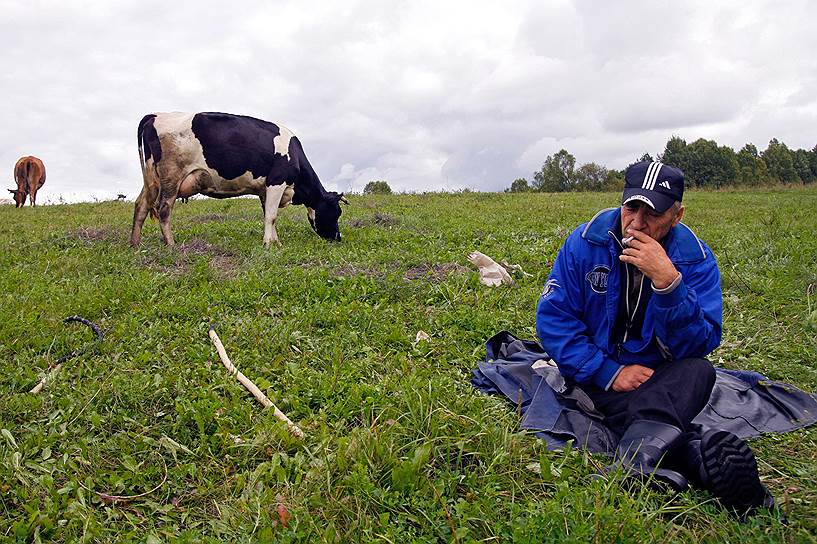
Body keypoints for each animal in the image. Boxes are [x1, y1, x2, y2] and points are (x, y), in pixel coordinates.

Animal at [129, 112, 346, 246]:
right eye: (336, 212)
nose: (338, 237)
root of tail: (156, 115)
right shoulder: (277, 181)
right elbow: (272, 215)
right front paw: (268, 244)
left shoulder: (264, 189)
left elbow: (269, 215)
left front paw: (275, 241)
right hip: (171, 177)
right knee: (164, 208)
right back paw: (171, 244)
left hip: (152, 179)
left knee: (141, 205)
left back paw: (135, 244)